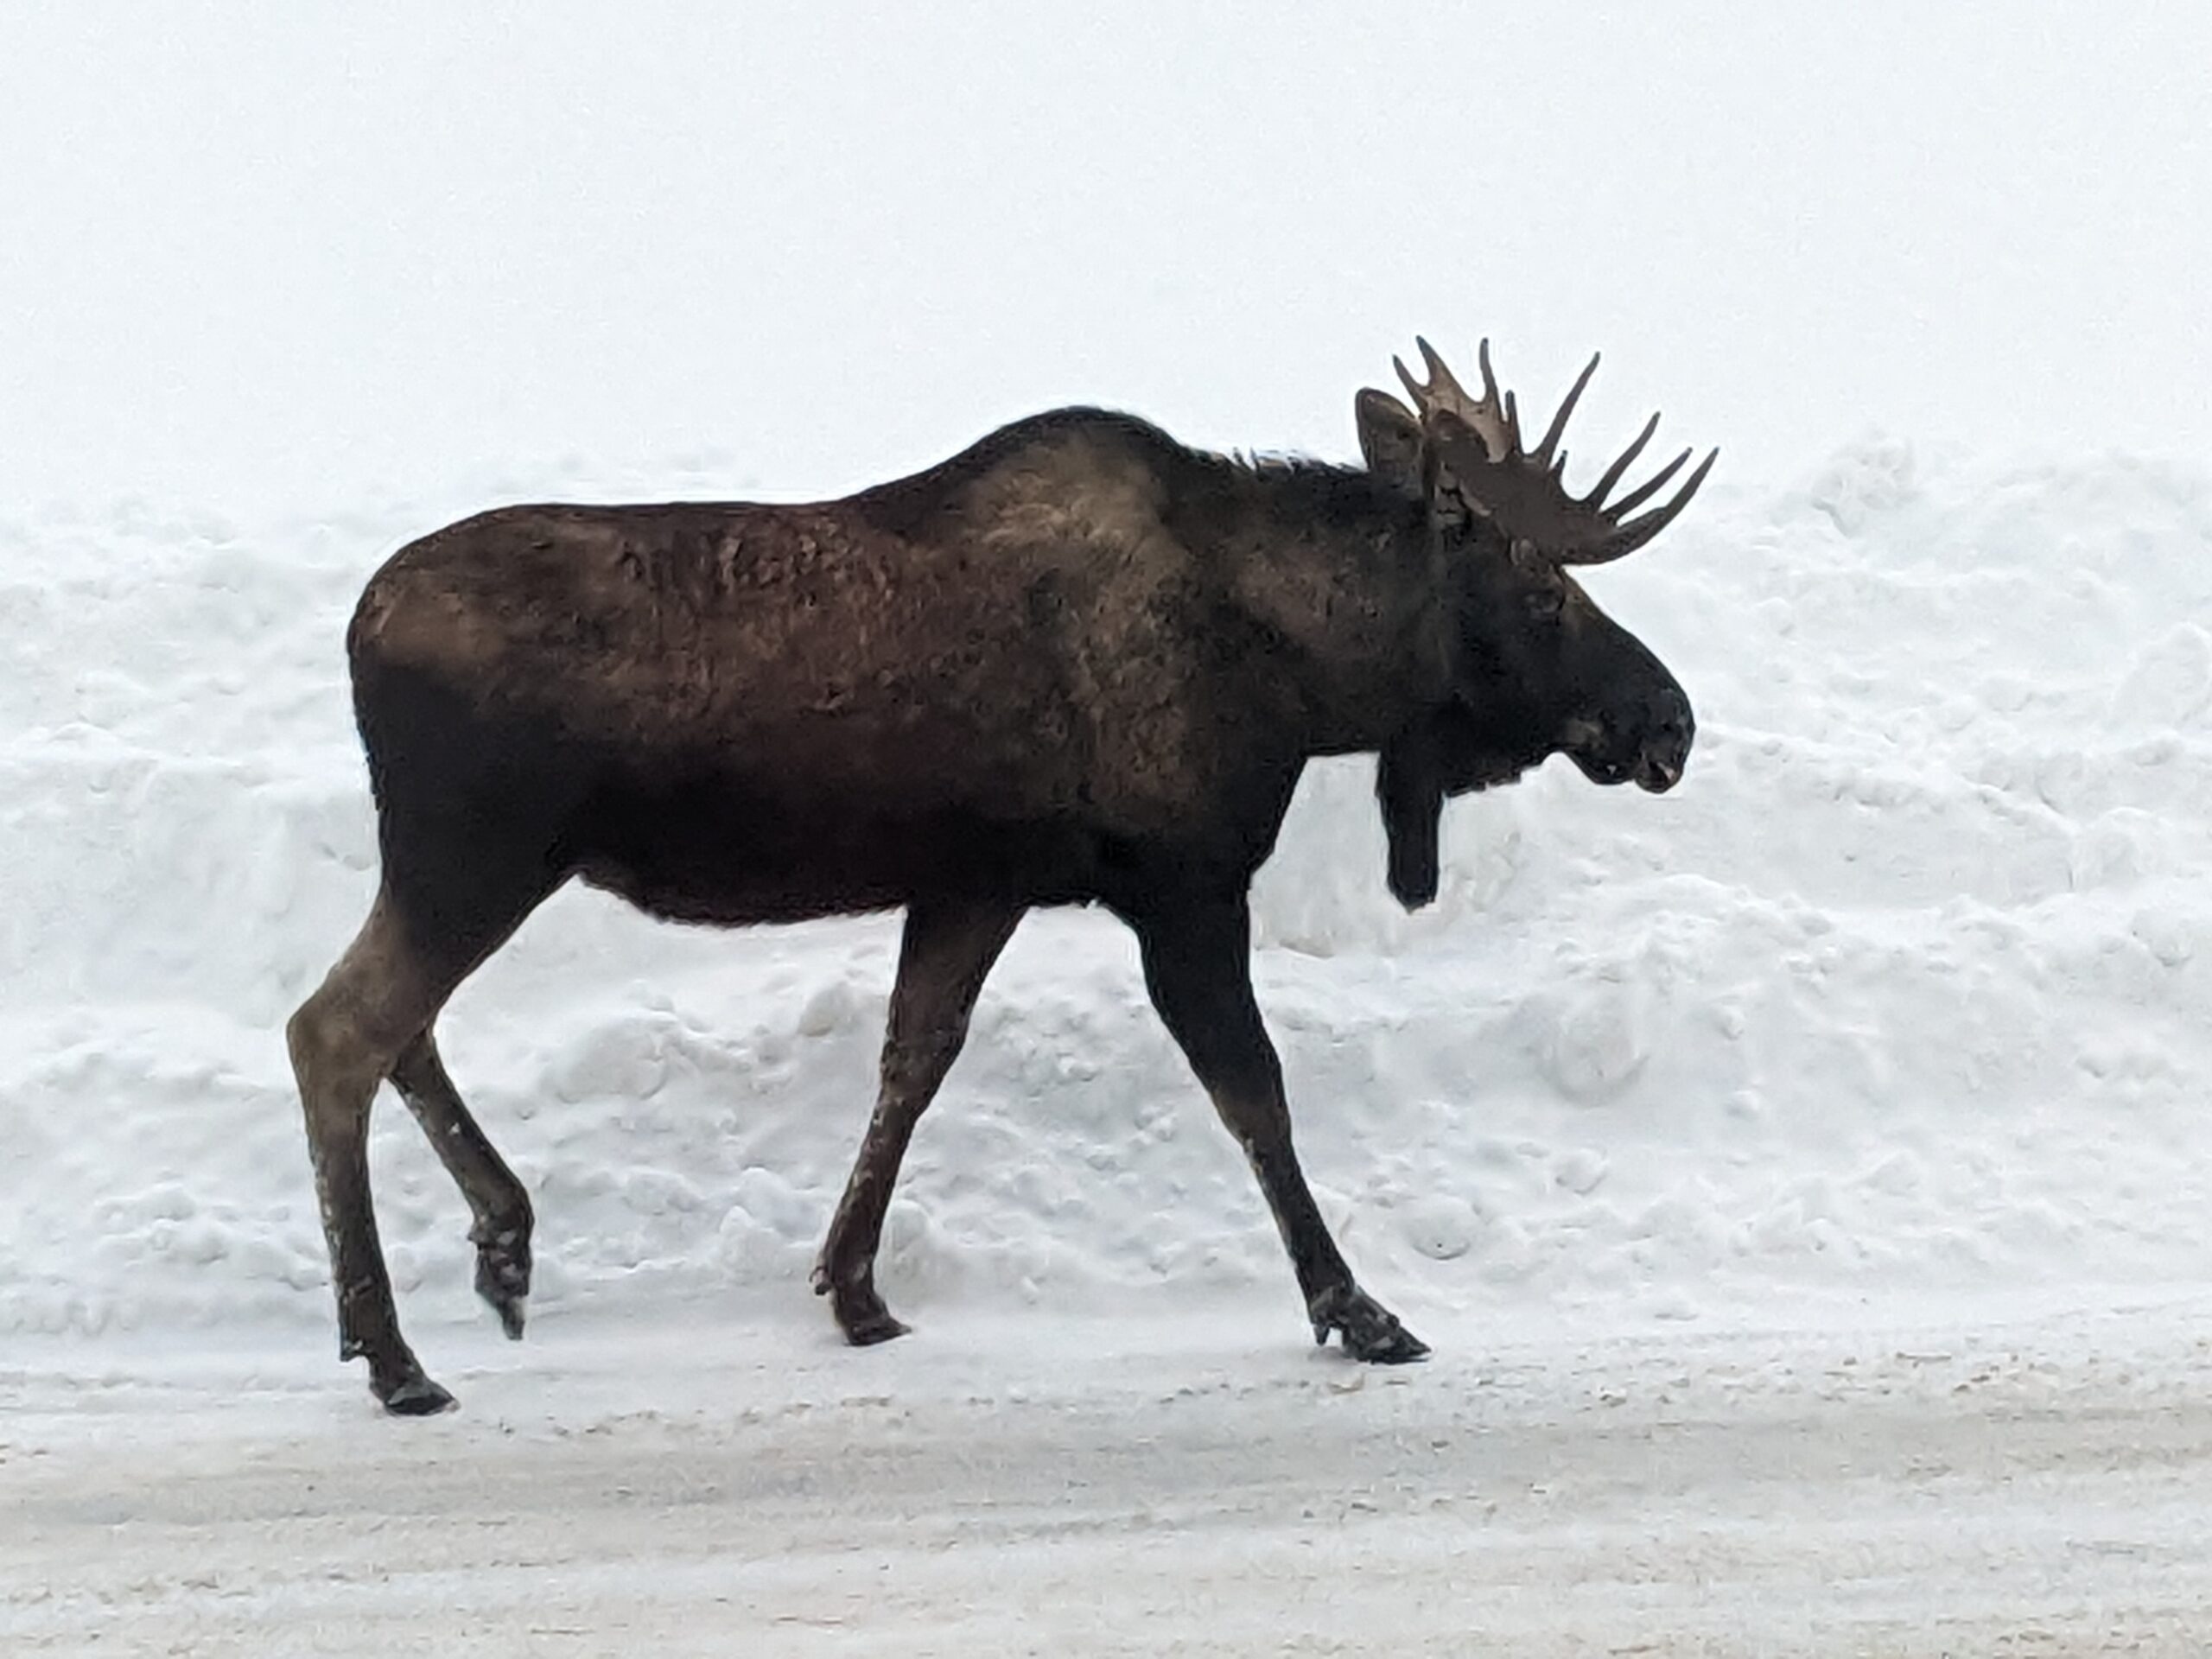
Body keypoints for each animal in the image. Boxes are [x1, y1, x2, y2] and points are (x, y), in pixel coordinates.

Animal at [289, 338, 1707, 1415]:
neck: (1308, 684)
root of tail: (356, 627)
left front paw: (856, 1290)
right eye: (1541, 590)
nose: (1670, 721)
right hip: (474, 855)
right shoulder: (1182, 883)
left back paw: (499, 1247)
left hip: (460, 866)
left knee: (395, 1028)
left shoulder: (977, 882)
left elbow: (913, 1059)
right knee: (337, 1030)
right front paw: (1358, 1309)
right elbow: (1254, 1094)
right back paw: (396, 1354)